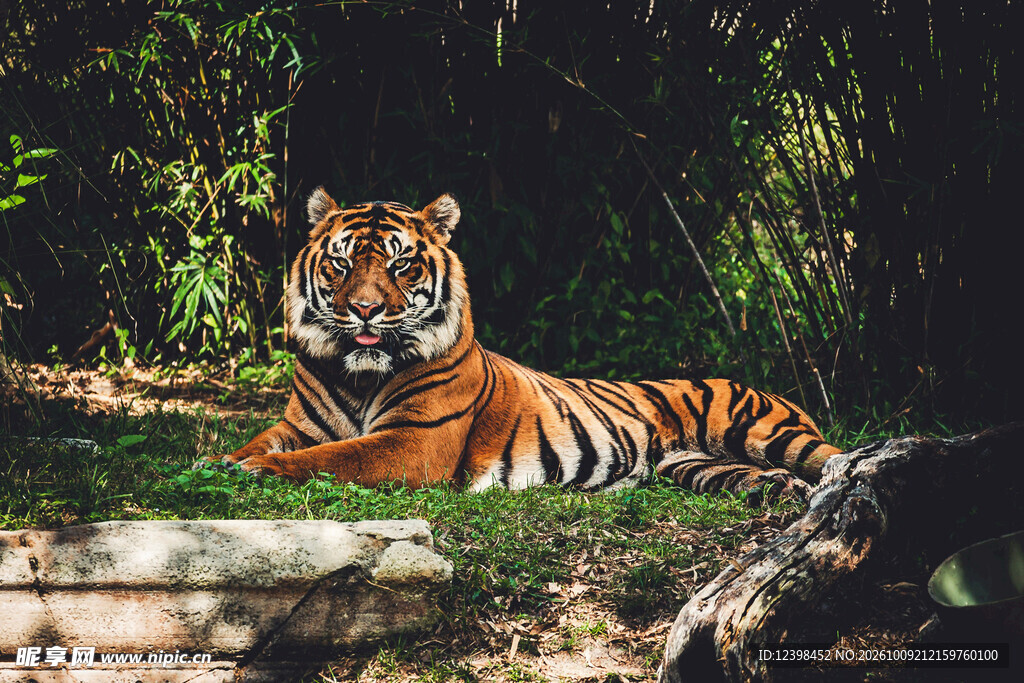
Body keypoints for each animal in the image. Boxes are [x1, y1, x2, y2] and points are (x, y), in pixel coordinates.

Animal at [204, 188, 841, 502]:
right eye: (339, 264)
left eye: (401, 264)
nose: (364, 309)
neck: (358, 374)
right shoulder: (300, 424)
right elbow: (267, 442)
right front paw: (217, 463)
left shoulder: (414, 442)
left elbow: (331, 459)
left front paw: (254, 471)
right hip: (695, 464)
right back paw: (778, 492)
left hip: (769, 432)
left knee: (835, 459)